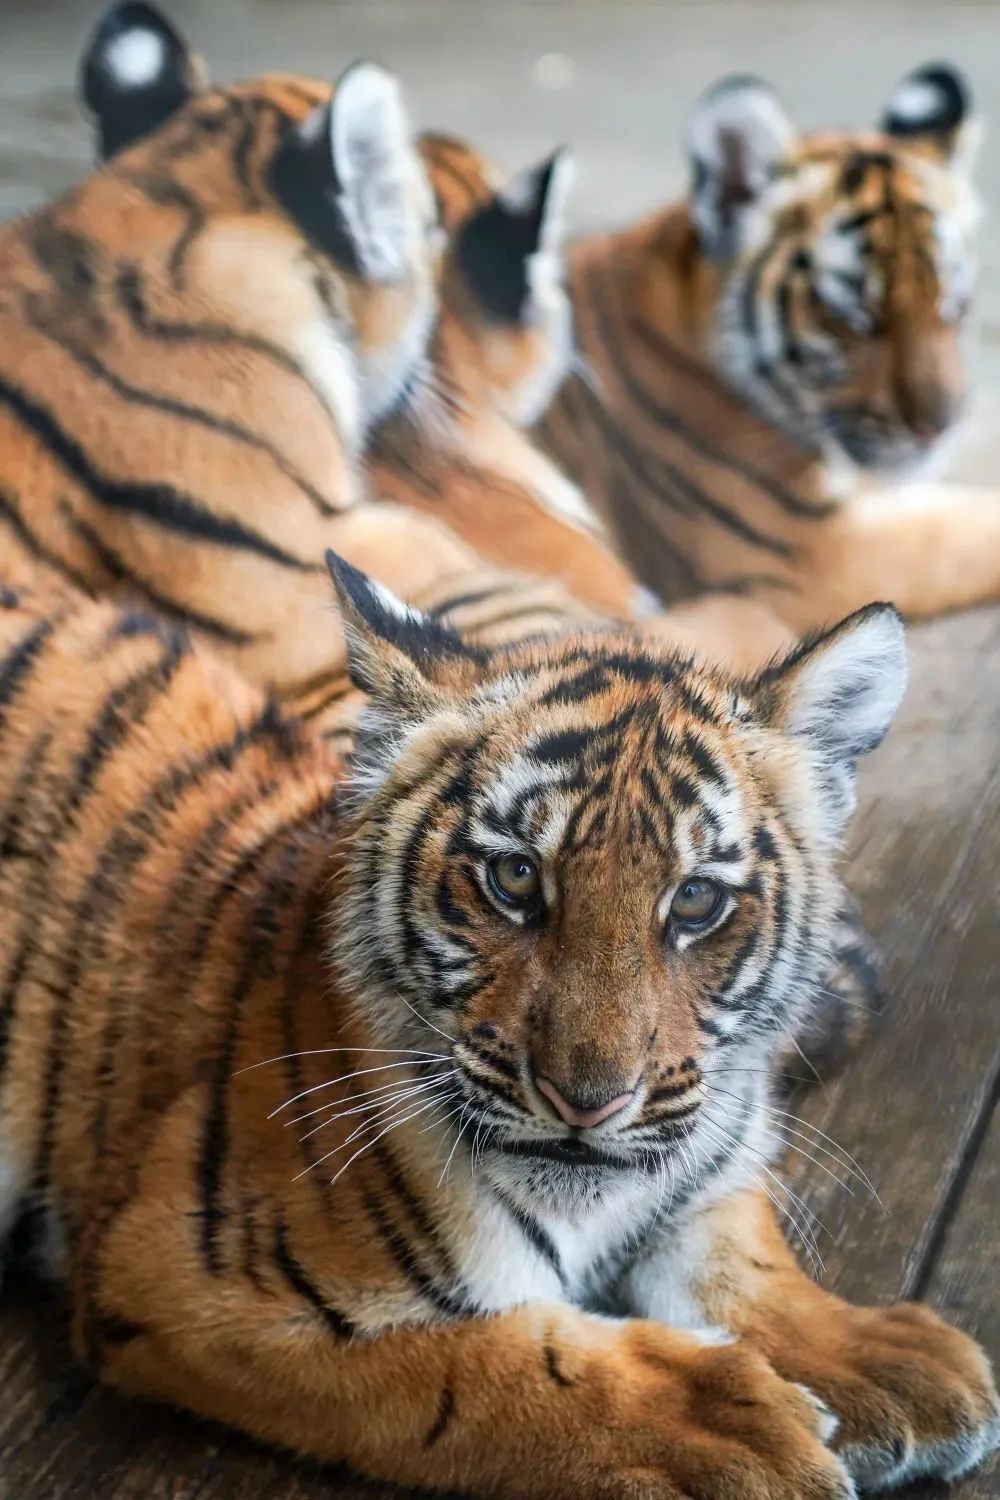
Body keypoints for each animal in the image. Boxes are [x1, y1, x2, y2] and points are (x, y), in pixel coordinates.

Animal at [0, 564, 995, 1500]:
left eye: (696, 901)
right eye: (515, 878)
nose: (587, 1102)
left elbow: (740, 1251)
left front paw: (876, 1354)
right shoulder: (182, 1271)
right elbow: (478, 1370)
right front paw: (723, 1430)